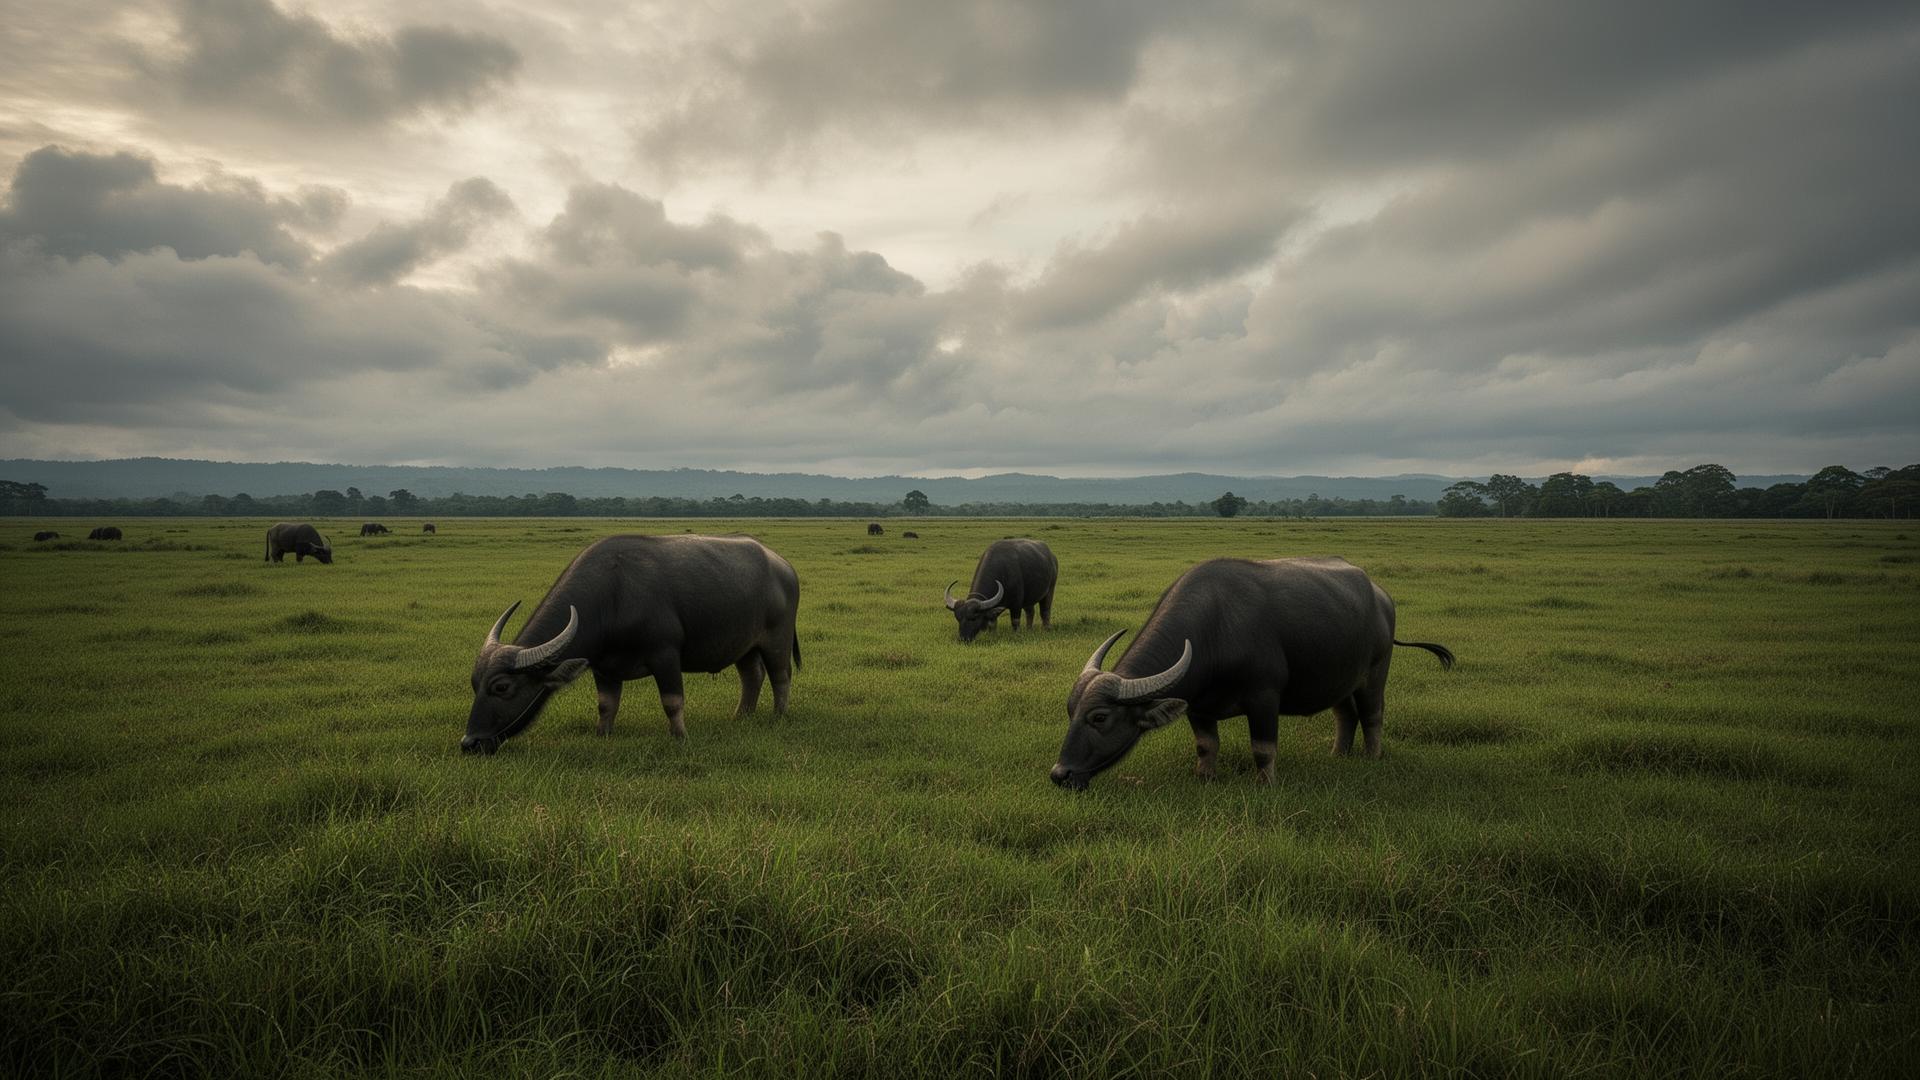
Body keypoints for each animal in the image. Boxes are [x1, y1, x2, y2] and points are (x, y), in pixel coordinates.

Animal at [462, 534, 801, 755]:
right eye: (475, 684)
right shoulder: (603, 667)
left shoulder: (666, 655)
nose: (469, 743)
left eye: (501, 687)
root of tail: (783, 566)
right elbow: (606, 704)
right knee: (752, 676)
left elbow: (672, 701)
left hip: (777, 639)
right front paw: (603, 734)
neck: (613, 596)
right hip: (744, 645)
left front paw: (680, 737)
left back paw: (779, 716)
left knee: (780, 676)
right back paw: (740, 716)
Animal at [1050, 557, 1455, 790]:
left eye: (1099, 717)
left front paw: (1265, 784)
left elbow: (1263, 749)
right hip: (1338, 679)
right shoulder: (1198, 706)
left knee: (1372, 715)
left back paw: (1371, 758)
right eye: (1070, 713)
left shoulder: (1264, 699)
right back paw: (1338, 755)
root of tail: (1381, 596)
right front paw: (1205, 777)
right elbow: (1206, 744)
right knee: (1345, 715)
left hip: (1374, 673)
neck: (1216, 628)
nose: (1059, 774)